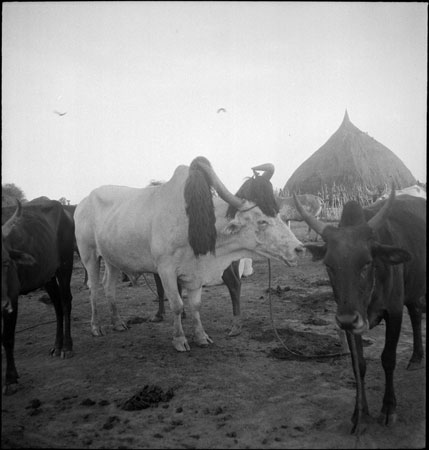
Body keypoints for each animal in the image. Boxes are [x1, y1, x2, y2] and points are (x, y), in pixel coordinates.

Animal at [1, 200, 74, 394]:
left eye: (5, 263)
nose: (2, 304)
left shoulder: (12, 298)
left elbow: (8, 338)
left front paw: (10, 379)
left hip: (65, 265)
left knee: (66, 302)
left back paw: (66, 347)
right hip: (47, 276)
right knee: (57, 305)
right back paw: (57, 345)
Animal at [294, 188, 424, 434]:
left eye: (366, 262)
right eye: (328, 265)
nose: (348, 318)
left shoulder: (394, 312)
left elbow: (388, 358)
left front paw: (388, 408)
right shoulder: (349, 322)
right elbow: (358, 366)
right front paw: (360, 413)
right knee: (415, 313)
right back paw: (416, 358)